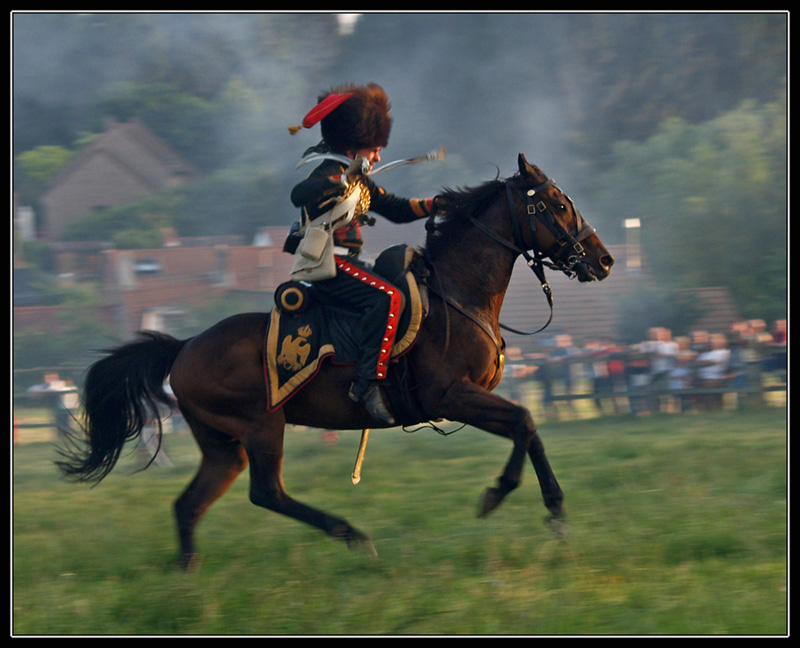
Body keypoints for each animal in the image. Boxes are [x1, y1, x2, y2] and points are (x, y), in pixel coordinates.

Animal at [57, 153, 612, 568]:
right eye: (558, 204)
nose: (603, 260)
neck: (457, 294)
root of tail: (185, 346)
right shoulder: (451, 396)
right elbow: (524, 421)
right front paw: (500, 494)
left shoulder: (467, 400)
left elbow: (527, 426)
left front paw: (554, 511)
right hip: (261, 426)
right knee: (267, 492)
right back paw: (353, 536)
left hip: (223, 446)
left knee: (190, 505)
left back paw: (189, 575)